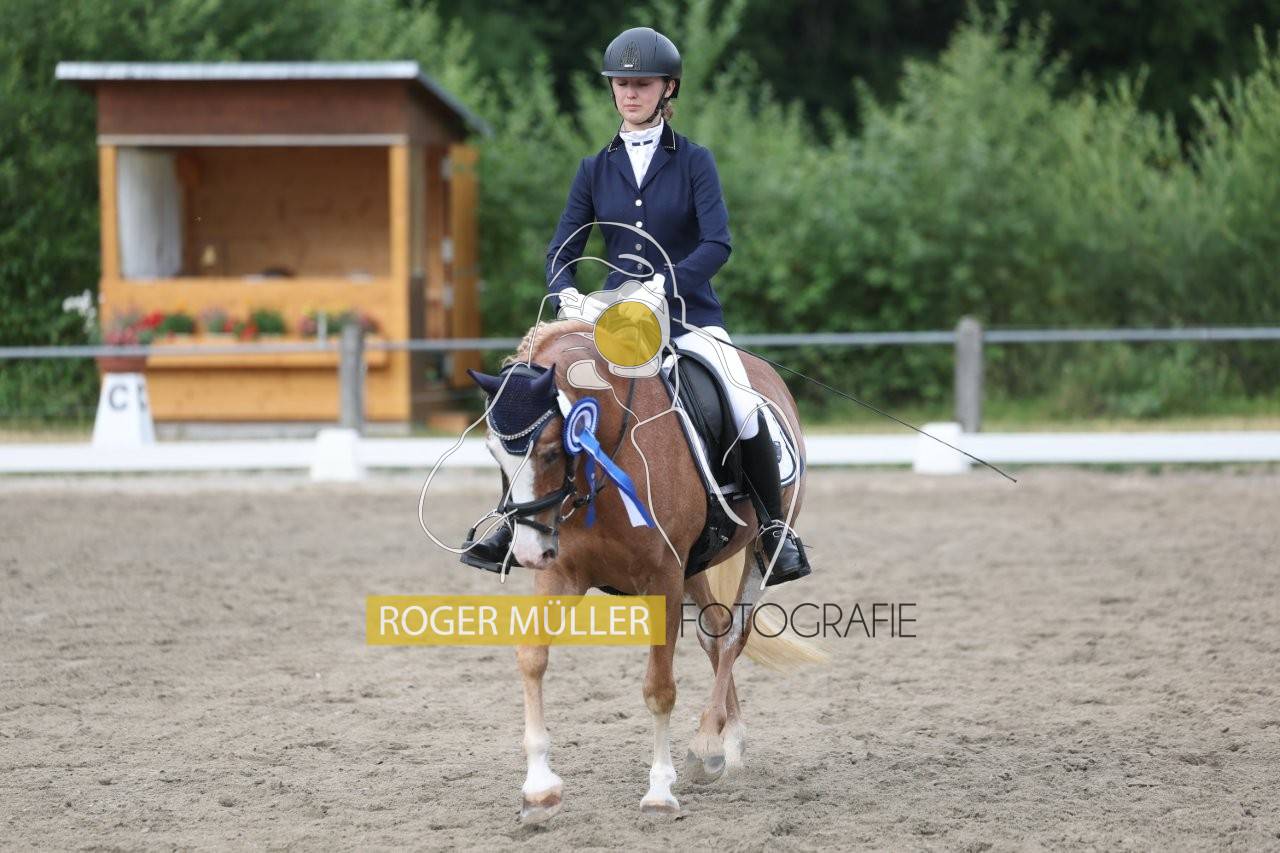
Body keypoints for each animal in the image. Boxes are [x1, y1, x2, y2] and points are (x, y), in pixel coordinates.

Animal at [469, 318, 826, 822]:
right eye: (494, 454)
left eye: (553, 452)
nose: (527, 552)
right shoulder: (563, 574)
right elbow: (532, 657)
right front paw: (539, 789)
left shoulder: (662, 581)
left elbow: (659, 688)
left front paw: (659, 791)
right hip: (696, 565)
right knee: (714, 633)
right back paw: (725, 746)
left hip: (757, 553)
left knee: (734, 636)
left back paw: (707, 743)